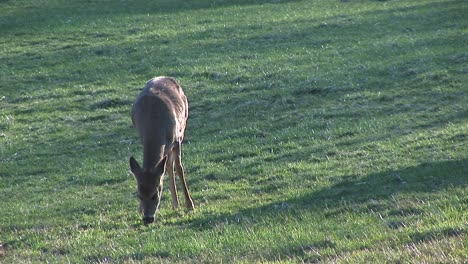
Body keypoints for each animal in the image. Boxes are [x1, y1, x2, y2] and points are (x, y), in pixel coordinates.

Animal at [129, 77, 195, 225]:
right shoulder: (142, 137)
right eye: (139, 195)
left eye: (155, 195)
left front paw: (190, 205)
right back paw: (175, 204)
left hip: (183, 125)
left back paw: (178, 204)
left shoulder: (177, 139)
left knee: (170, 165)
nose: (148, 219)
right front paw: (139, 210)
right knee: (167, 165)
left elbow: (179, 168)